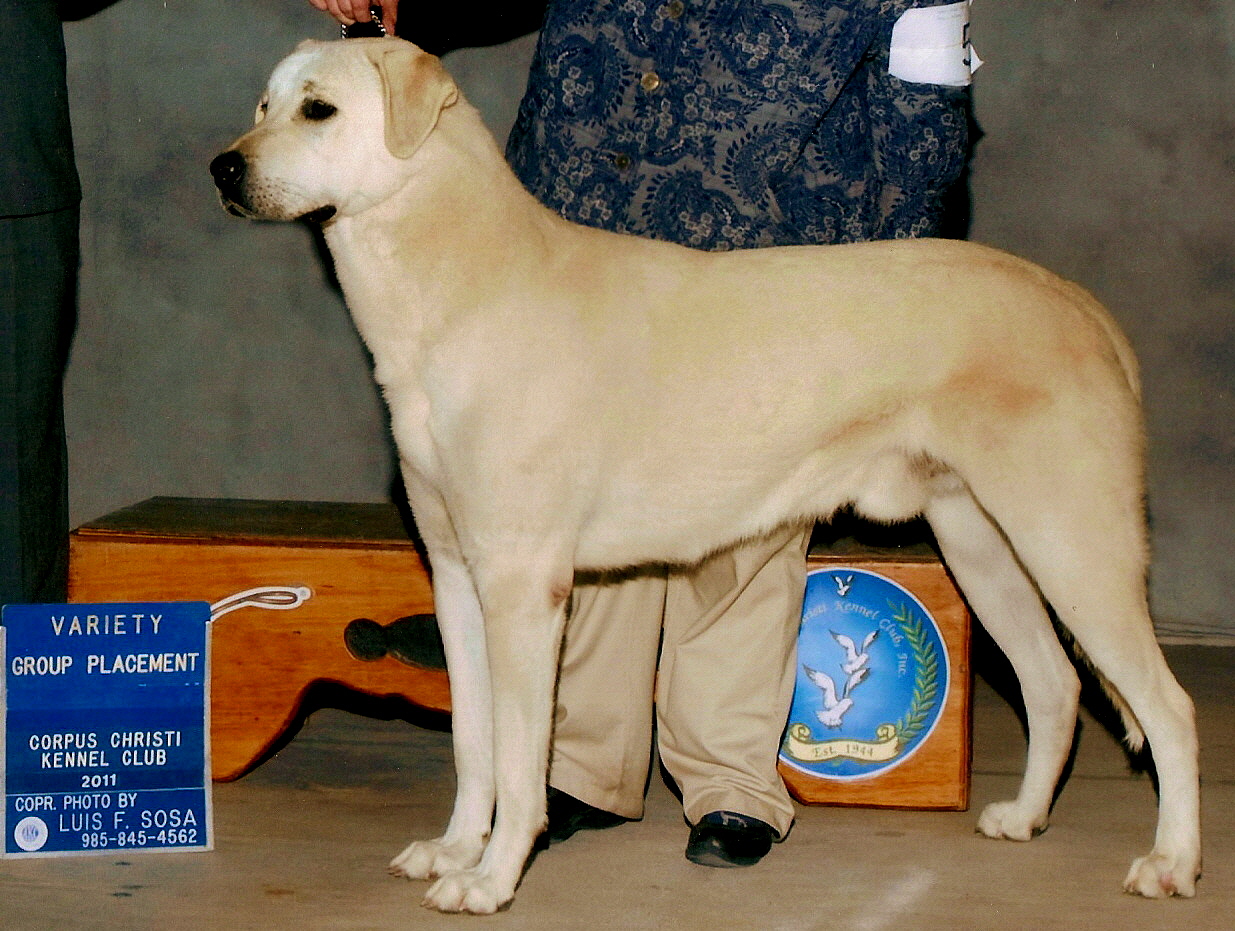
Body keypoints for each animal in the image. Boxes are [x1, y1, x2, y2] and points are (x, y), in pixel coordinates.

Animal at [209, 39, 1195, 908]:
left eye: (318, 109)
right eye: (260, 105)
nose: (222, 168)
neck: (458, 281)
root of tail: (1079, 304)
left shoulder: (522, 585)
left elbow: (522, 759)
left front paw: (489, 879)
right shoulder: (456, 576)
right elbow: (475, 743)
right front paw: (454, 849)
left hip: (1074, 546)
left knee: (1168, 707)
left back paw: (1170, 863)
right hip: (983, 544)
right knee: (1054, 683)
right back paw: (1024, 817)